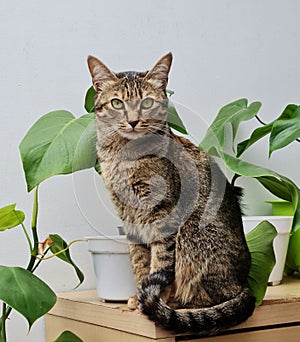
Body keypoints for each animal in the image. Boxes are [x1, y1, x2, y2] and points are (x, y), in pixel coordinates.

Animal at [87, 52, 255, 336]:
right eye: (117, 103)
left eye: (147, 102)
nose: (133, 121)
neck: (124, 156)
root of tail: (244, 283)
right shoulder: (128, 217)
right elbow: (140, 262)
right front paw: (139, 294)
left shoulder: (163, 214)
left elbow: (160, 261)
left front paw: (155, 299)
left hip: (192, 235)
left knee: (209, 297)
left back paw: (177, 303)